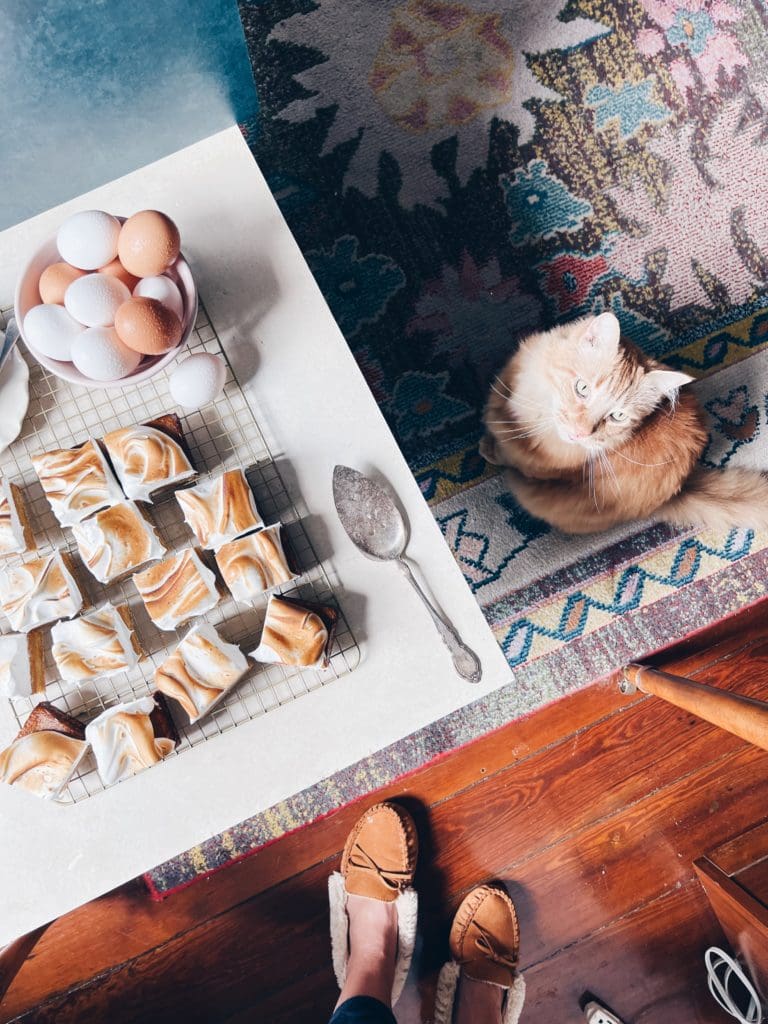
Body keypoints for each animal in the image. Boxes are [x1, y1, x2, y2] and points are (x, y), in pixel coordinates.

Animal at [483, 311, 768, 536]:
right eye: (582, 388)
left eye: (617, 416)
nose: (581, 433)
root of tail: (678, 489)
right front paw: (487, 441)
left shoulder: (532, 466)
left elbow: (506, 453)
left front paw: (488, 451)